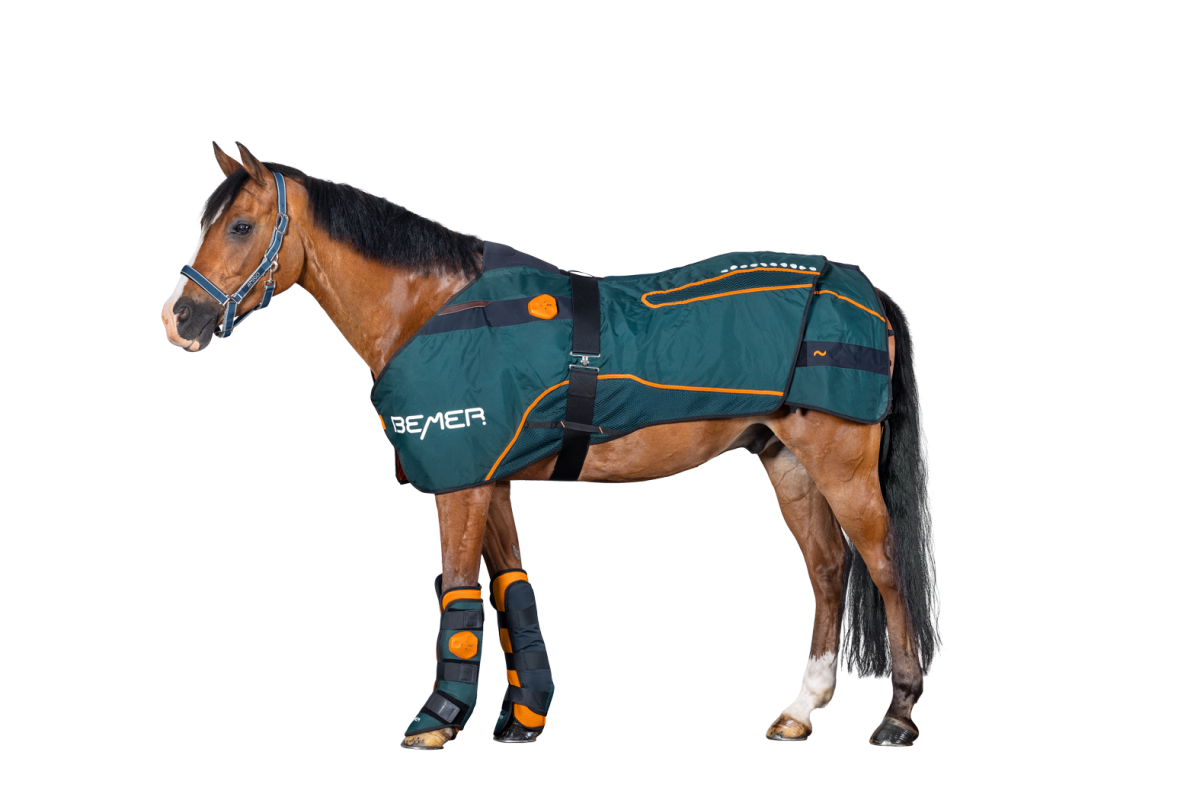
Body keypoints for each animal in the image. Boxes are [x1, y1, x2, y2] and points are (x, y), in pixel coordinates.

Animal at [163, 142, 943, 752]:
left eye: (240, 225)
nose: (182, 319)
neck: (431, 309)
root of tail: (857, 284)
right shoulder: (493, 478)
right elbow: (512, 592)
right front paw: (523, 717)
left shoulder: (462, 482)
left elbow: (459, 593)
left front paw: (436, 719)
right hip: (790, 464)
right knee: (829, 570)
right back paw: (802, 710)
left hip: (842, 467)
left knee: (883, 569)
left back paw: (899, 714)